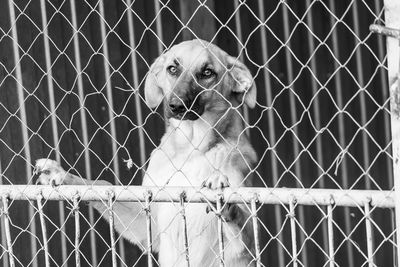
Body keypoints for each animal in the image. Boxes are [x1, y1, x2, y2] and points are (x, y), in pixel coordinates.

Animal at [36, 40, 258, 267]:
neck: (190, 150)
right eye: (172, 69)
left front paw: (222, 197)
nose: (176, 106)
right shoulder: (149, 223)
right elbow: (101, 185)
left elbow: (241, 220)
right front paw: (62, 175)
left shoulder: (243, 247)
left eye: (207, 72)